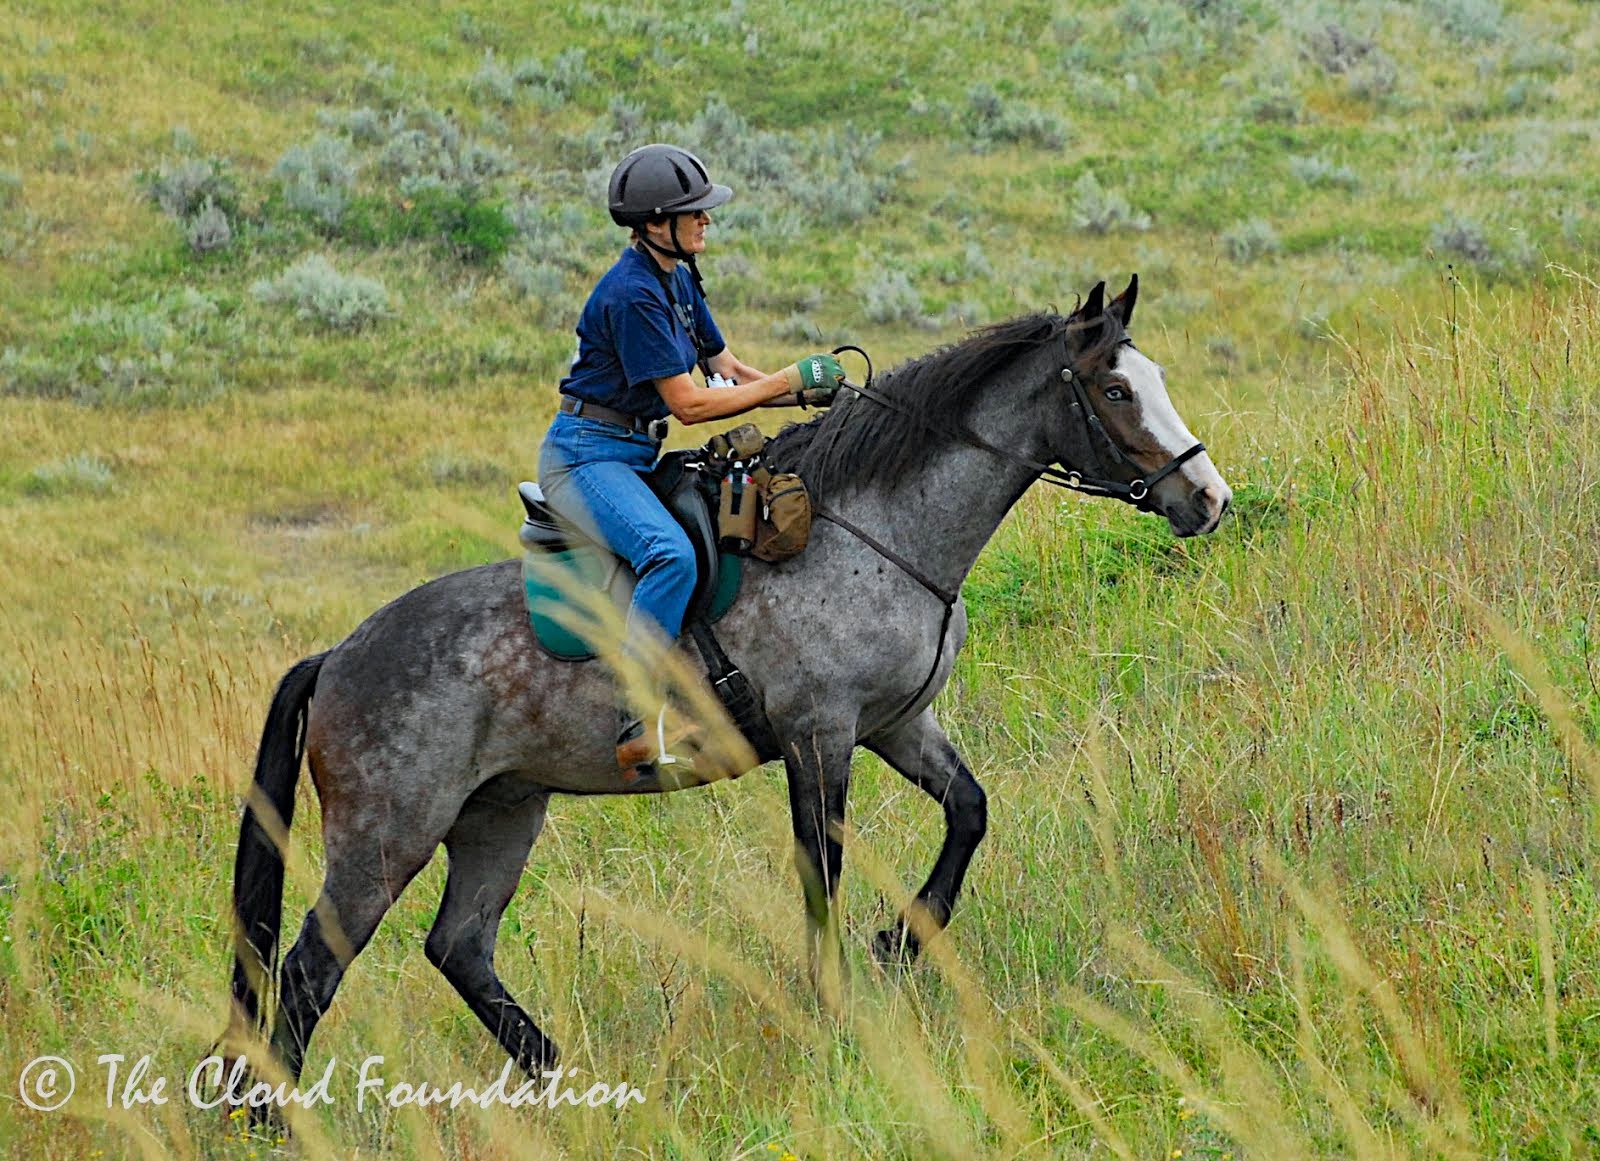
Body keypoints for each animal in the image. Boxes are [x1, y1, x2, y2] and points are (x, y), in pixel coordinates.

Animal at [222, 279, 1222, 1093]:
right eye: (1116, 390)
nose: (1209, 499)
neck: (868, 529)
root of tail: (338, 656)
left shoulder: (898, 724)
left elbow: (969, 811)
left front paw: (900, 941)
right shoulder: (820, 736)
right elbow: (822, 873)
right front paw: (837, 1008)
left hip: (501, 812)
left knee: (458, 947)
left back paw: (561, 1076)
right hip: (386, 836)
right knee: (307, 973)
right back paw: (273, 1116)